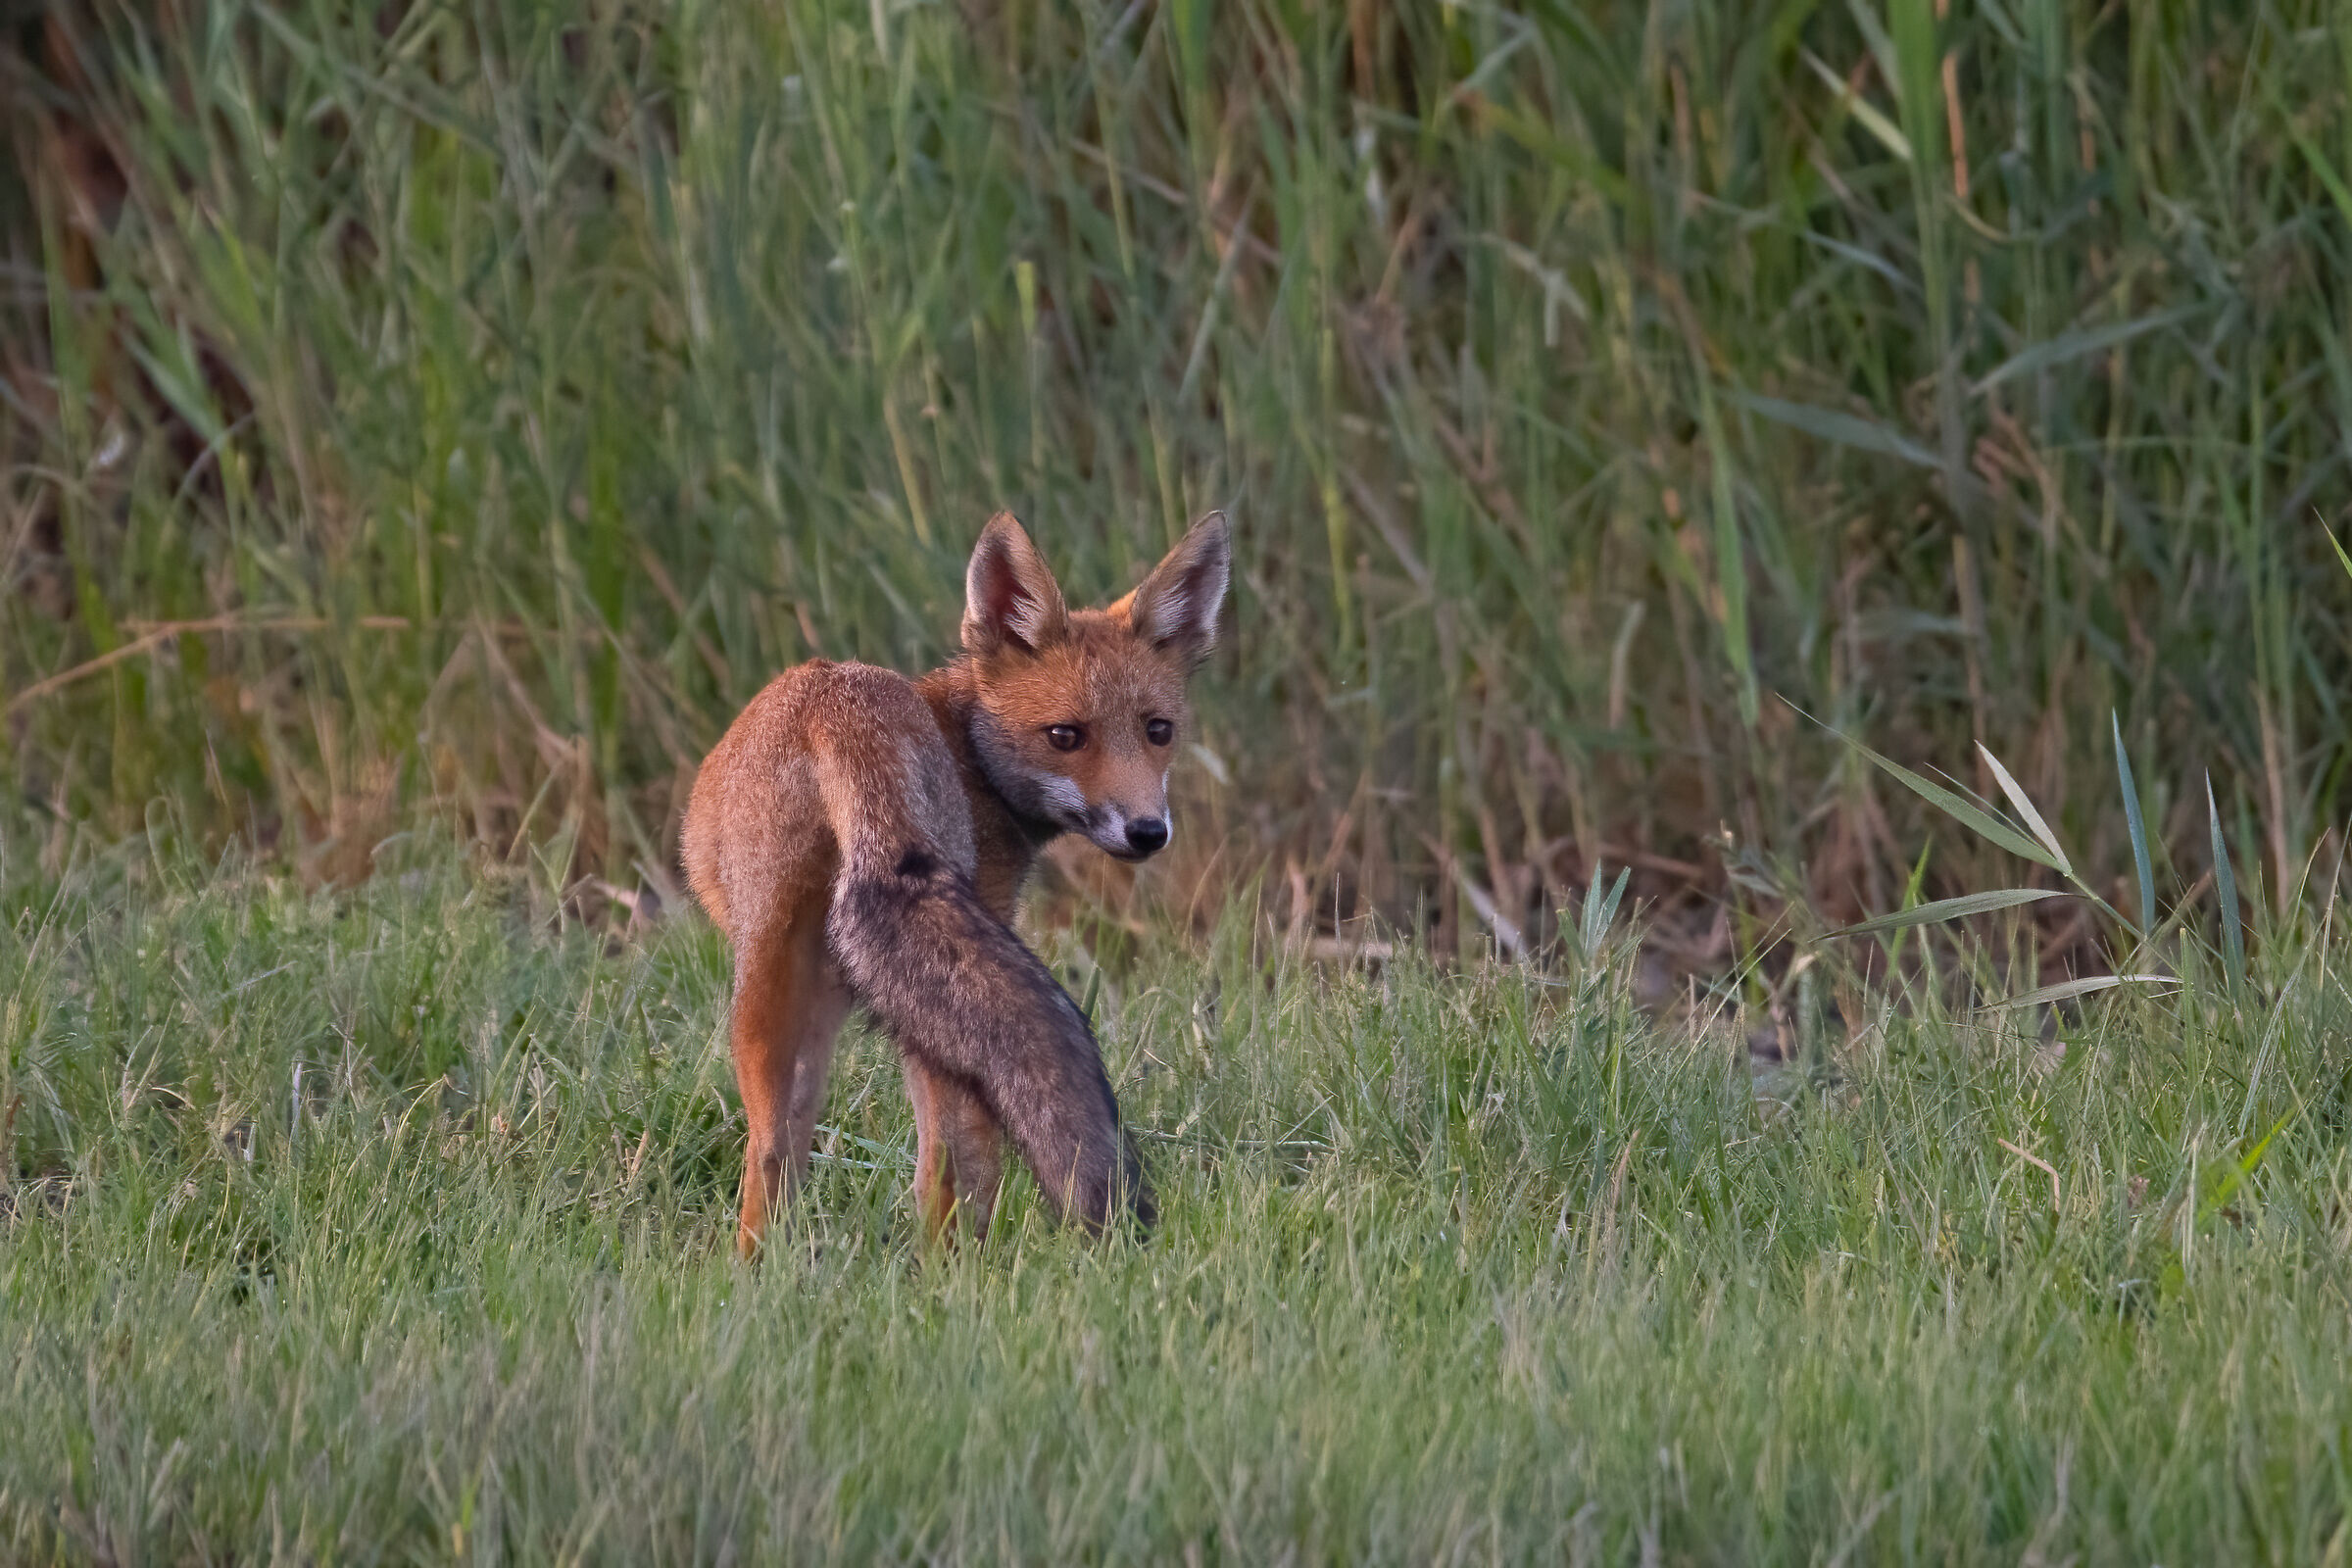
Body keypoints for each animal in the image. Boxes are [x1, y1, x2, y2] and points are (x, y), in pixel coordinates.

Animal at [682, 509, 1231, 1256]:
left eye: (1158, 731)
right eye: (1065, 735)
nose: (1147, 832)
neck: (967, 748)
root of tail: (840, 705)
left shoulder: (831, 986)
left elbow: (795, 1139)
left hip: (775, 971)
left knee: (773, 1146)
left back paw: (763, 1269)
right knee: (953, 1155)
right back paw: (959, 1269)